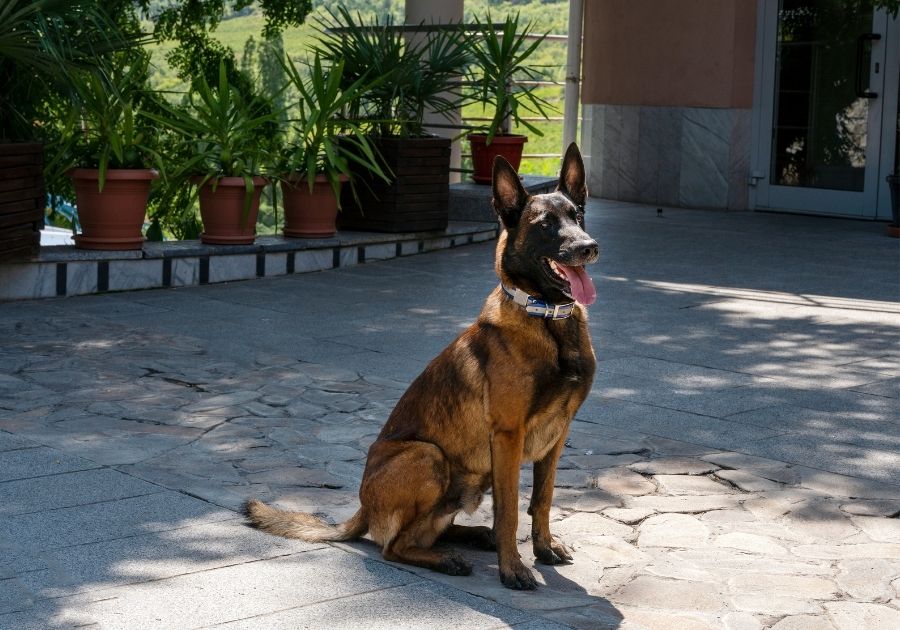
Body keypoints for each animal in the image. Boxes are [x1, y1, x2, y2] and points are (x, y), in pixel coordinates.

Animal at [244, 143, 596, 592]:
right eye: (546, 225)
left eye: (577, 216)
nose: (589, 246)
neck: (548, 318)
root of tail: (362, 508)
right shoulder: (508, 435)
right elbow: (510, 510)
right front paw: (514, 568)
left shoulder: (558, 433)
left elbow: (543, 499)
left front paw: (544, 549)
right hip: (428, 456)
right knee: (393, 546)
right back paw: (448, 559)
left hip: (464, 481)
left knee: (425, 531)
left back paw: (472, 538)